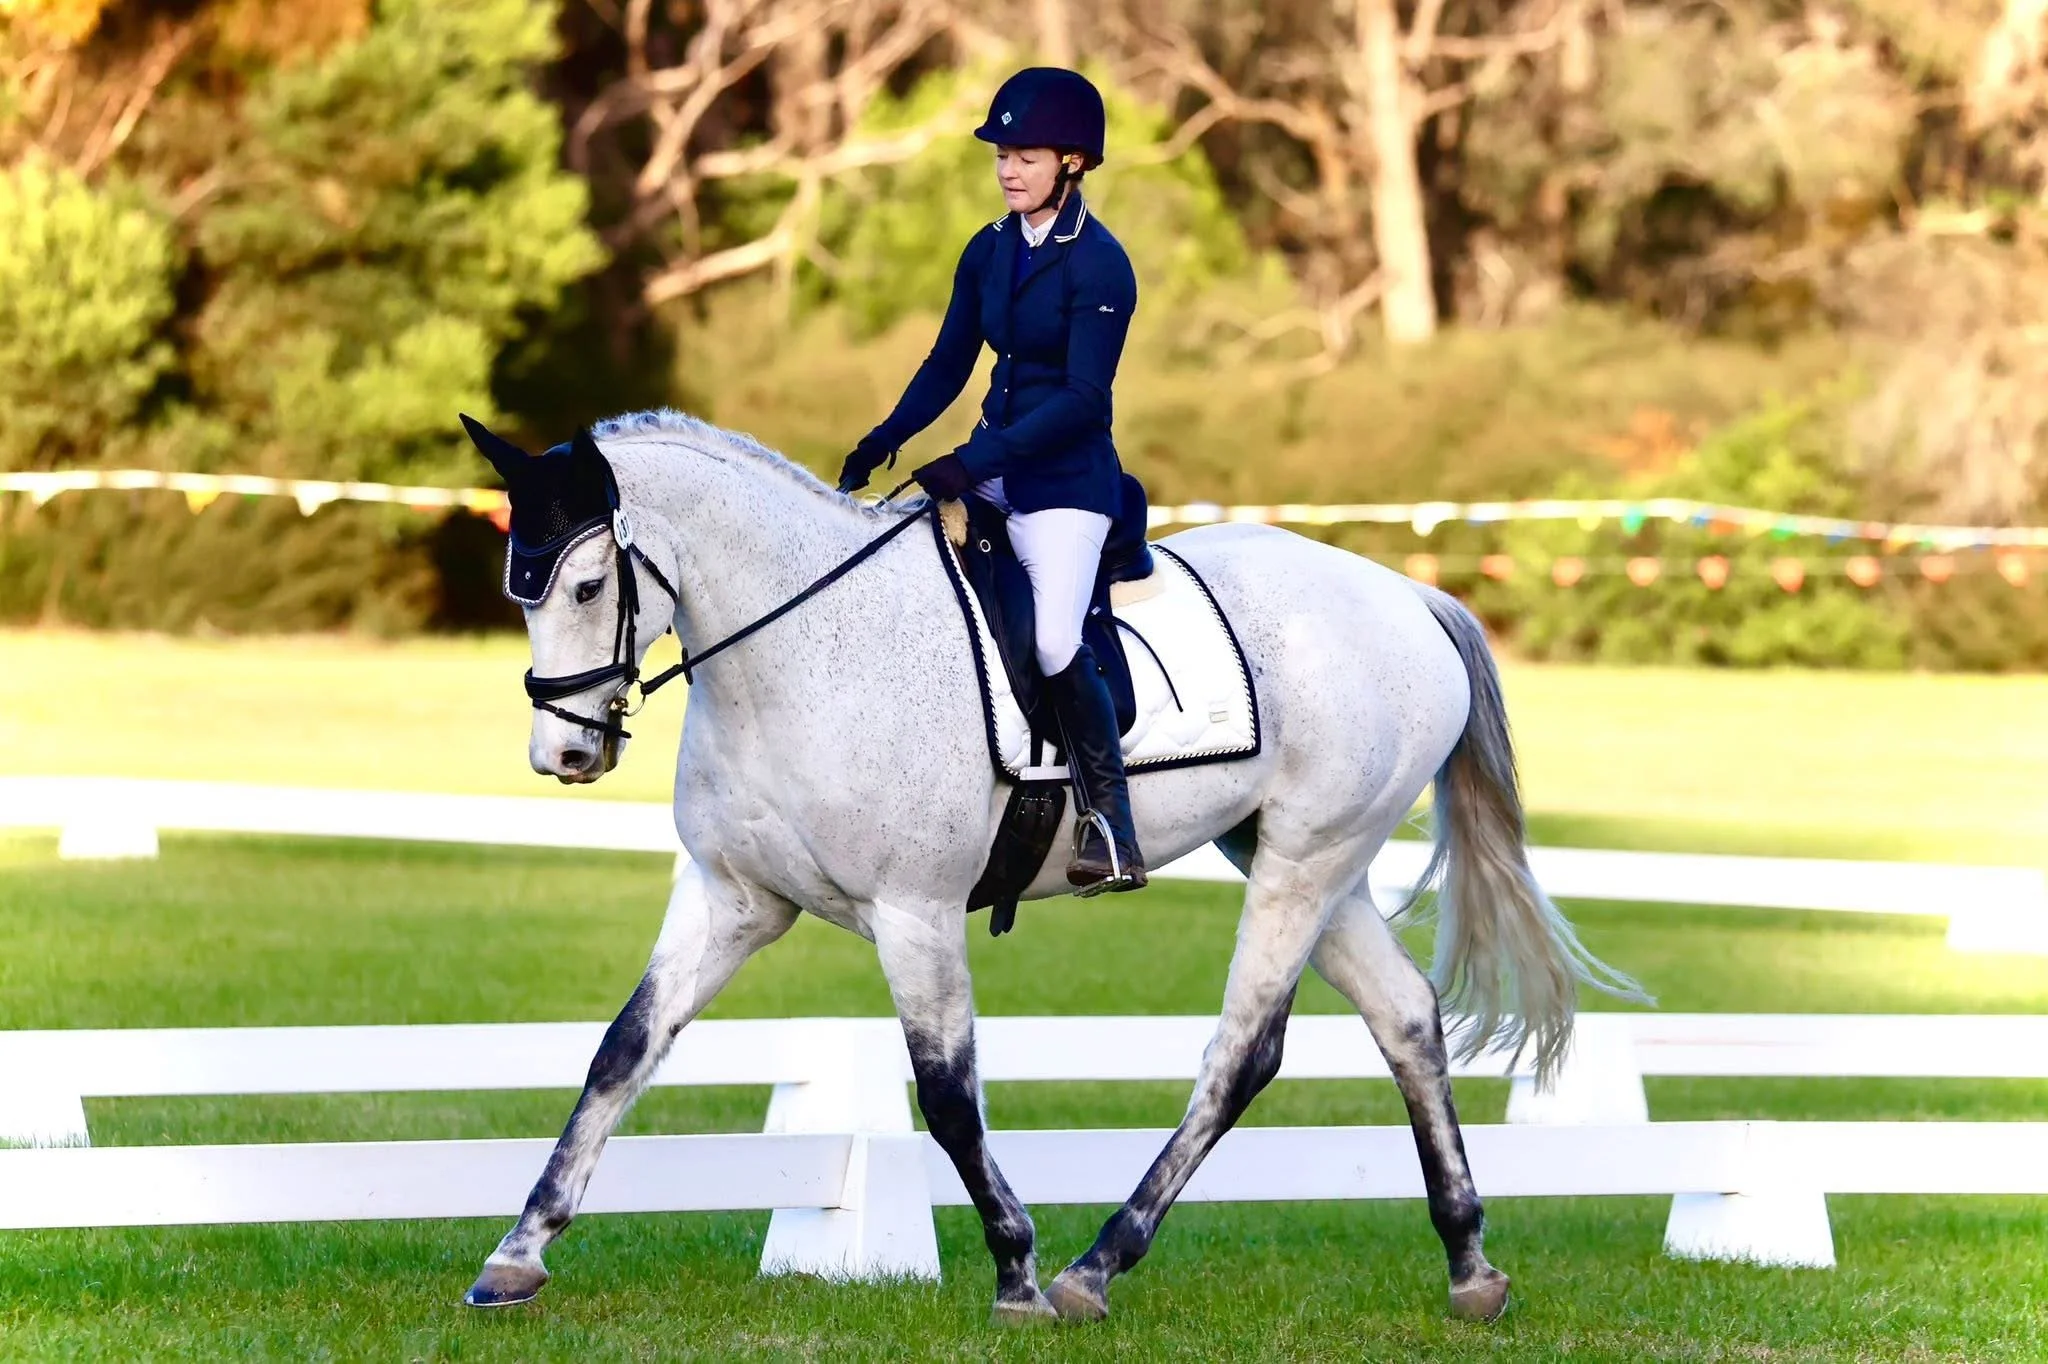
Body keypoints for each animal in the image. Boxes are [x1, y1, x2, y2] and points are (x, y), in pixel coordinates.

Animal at [457, 408, 1644, 1325]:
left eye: (586, 585)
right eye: (519, 587)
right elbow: (621, 1051)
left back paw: (1092, 1266)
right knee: (1403, 1016)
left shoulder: (915, 910)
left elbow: (947, 1097)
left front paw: (1017, 1270)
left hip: (1304, 861)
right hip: (1308, 855)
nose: (564, 755)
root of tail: (1407, 596)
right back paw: (1469, 1264)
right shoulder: (732, 900)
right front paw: (516, 1254)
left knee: (1242, 1052)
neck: (797, 652)